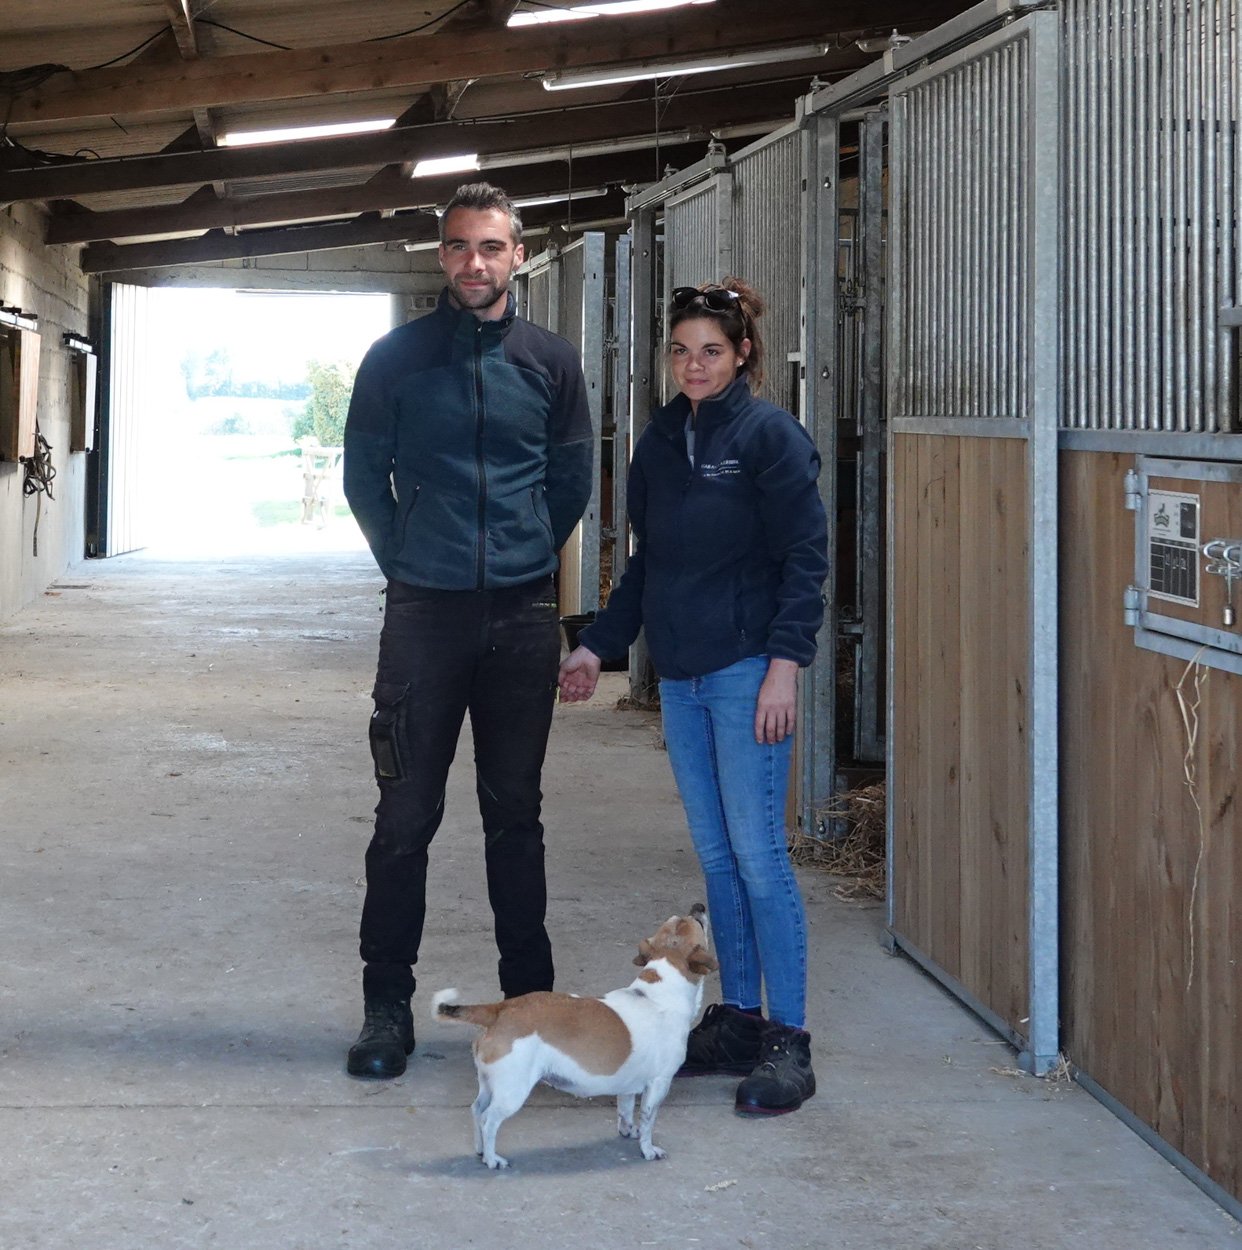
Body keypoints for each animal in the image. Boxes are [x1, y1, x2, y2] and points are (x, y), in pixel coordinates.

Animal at [432, 906, 717, 1169]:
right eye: (699, 923)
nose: (699, 906)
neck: (658, 993)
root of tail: (501, 1009)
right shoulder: (659, 1084)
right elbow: (648, 1120)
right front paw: (647, 1149)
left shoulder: (627, 1086)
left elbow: (625, 1110)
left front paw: (628, 1131)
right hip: (512, 1091)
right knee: (488, 1120)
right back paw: (492, 1159)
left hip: (490, 1084)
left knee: (476, 1109)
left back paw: (481, 1150)